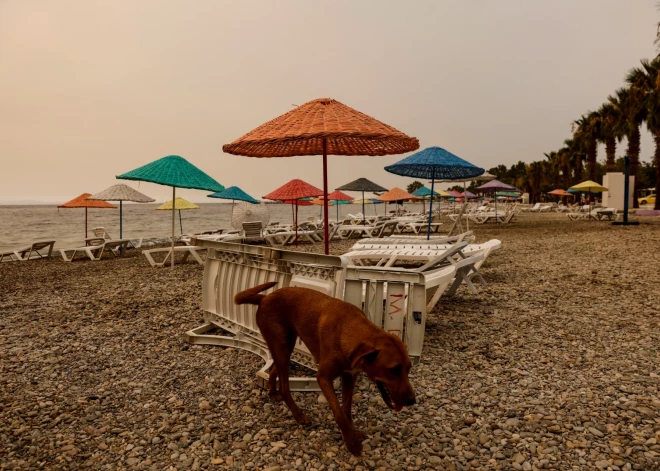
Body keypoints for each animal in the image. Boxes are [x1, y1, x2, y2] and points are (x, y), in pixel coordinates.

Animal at [235, 282, 416, 456]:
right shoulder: (323, 378)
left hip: (285, 346)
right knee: (285, 387)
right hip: (282, 346)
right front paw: (351, 443)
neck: (347, 330)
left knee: (274, 370)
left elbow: (347, 409)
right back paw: (299, 415)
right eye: (394, 370)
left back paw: (272, 392)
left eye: (408, 368)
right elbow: (339, 413)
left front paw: (352, 432)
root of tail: (265, 298)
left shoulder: (349, 376)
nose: (412, 401)